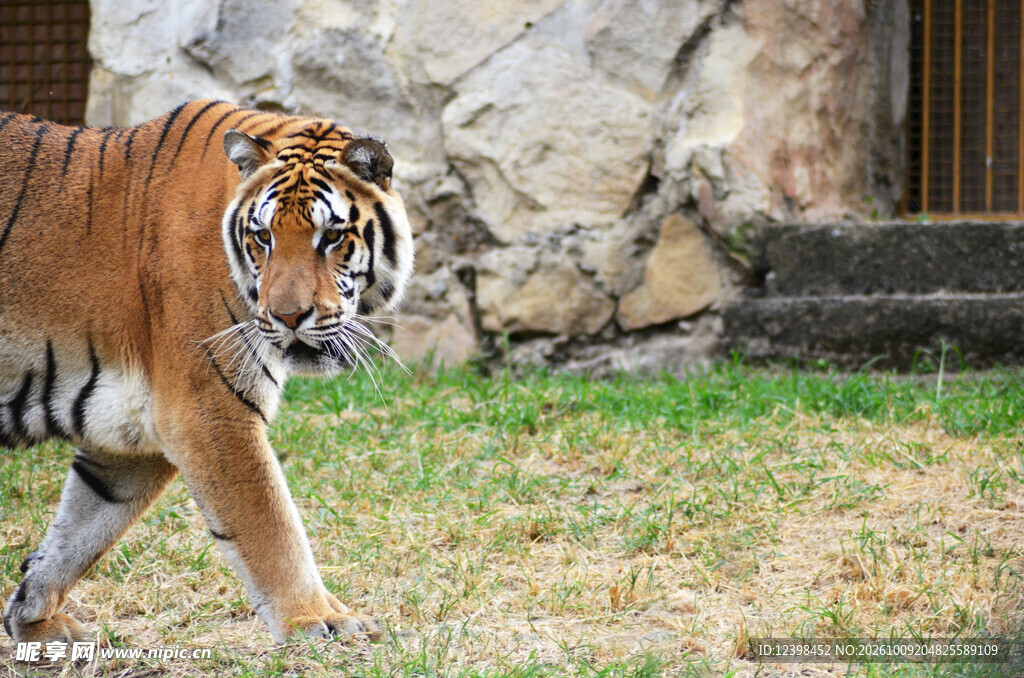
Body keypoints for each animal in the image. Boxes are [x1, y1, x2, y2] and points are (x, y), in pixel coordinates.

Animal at [0, 100, 413, 645]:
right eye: (264, 237)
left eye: (331, 237)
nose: (288, 317)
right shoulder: (207, 412)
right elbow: (270, 525)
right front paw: (318, 618)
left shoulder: (132, 435)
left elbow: (81, 532)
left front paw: (33, 619)